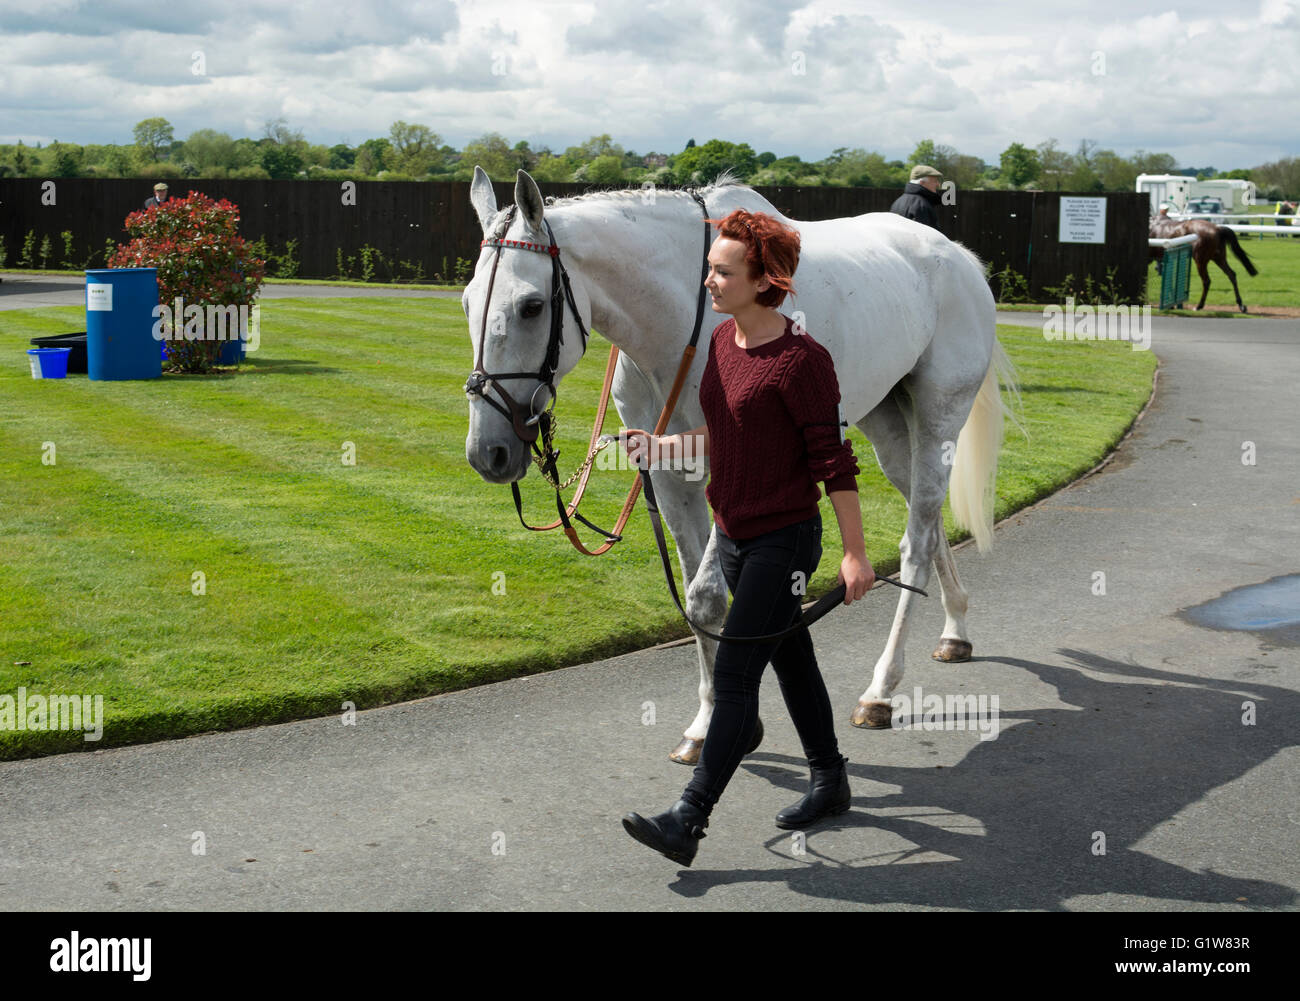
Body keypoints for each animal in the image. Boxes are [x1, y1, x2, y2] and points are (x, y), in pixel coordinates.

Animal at [462, 167, 1018, 764]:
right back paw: (955, 628)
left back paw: (881, 690)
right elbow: (699, 598)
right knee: (929, 520)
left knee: (916, 541)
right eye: (467, 304)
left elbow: (709, 597)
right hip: (886, 422)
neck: (685, 320)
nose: (487, 451)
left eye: (531, 306)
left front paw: (724, 722)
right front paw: (709, 722)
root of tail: (958, 257)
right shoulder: (667, 471)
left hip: (939, 420)